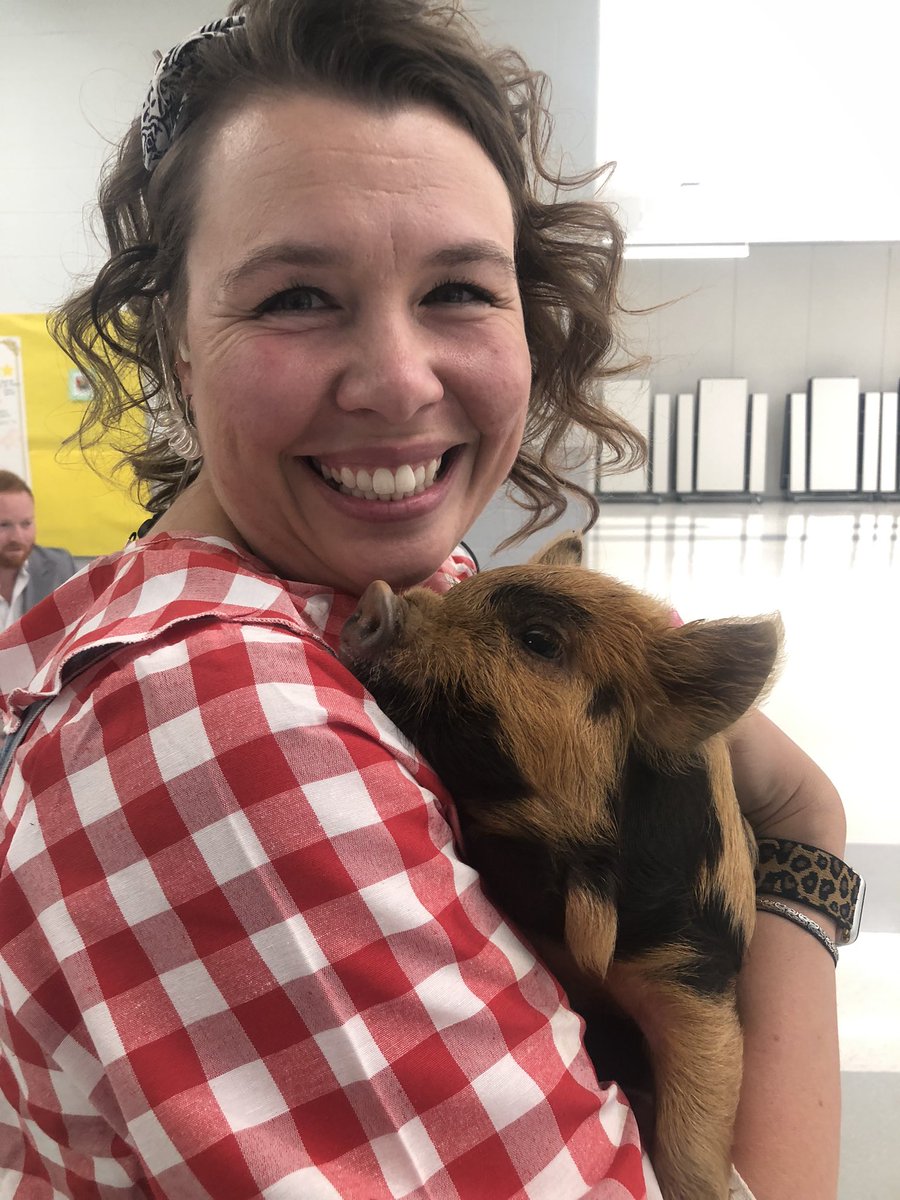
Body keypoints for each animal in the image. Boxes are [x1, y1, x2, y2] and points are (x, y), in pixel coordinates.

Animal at [338, 533, 781, 1200]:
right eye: (462, 590)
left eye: (540, 641)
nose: (376, 597)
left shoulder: (695, 968)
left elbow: (696, 1122)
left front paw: (697, 1185)